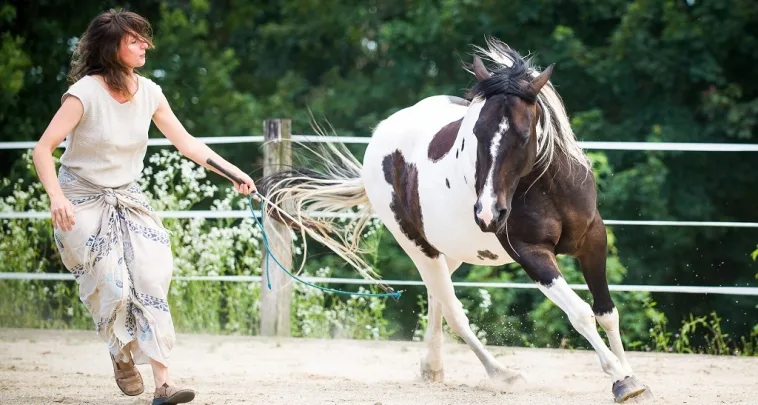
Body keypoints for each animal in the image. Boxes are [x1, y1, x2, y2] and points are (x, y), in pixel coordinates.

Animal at [258, 38, 653, 403]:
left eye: (524, 134)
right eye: (475, 133)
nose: (489, 213)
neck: (549, 189)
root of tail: (381, 137)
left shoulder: (593, 241)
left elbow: (606, 312)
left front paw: (631, 377)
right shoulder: (532, 254)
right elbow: (581, 314)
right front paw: (621, 379)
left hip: (452, 252)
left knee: (438, 298)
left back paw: (432, 367)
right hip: (418, 245)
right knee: (453, 310)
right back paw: (501, 374)